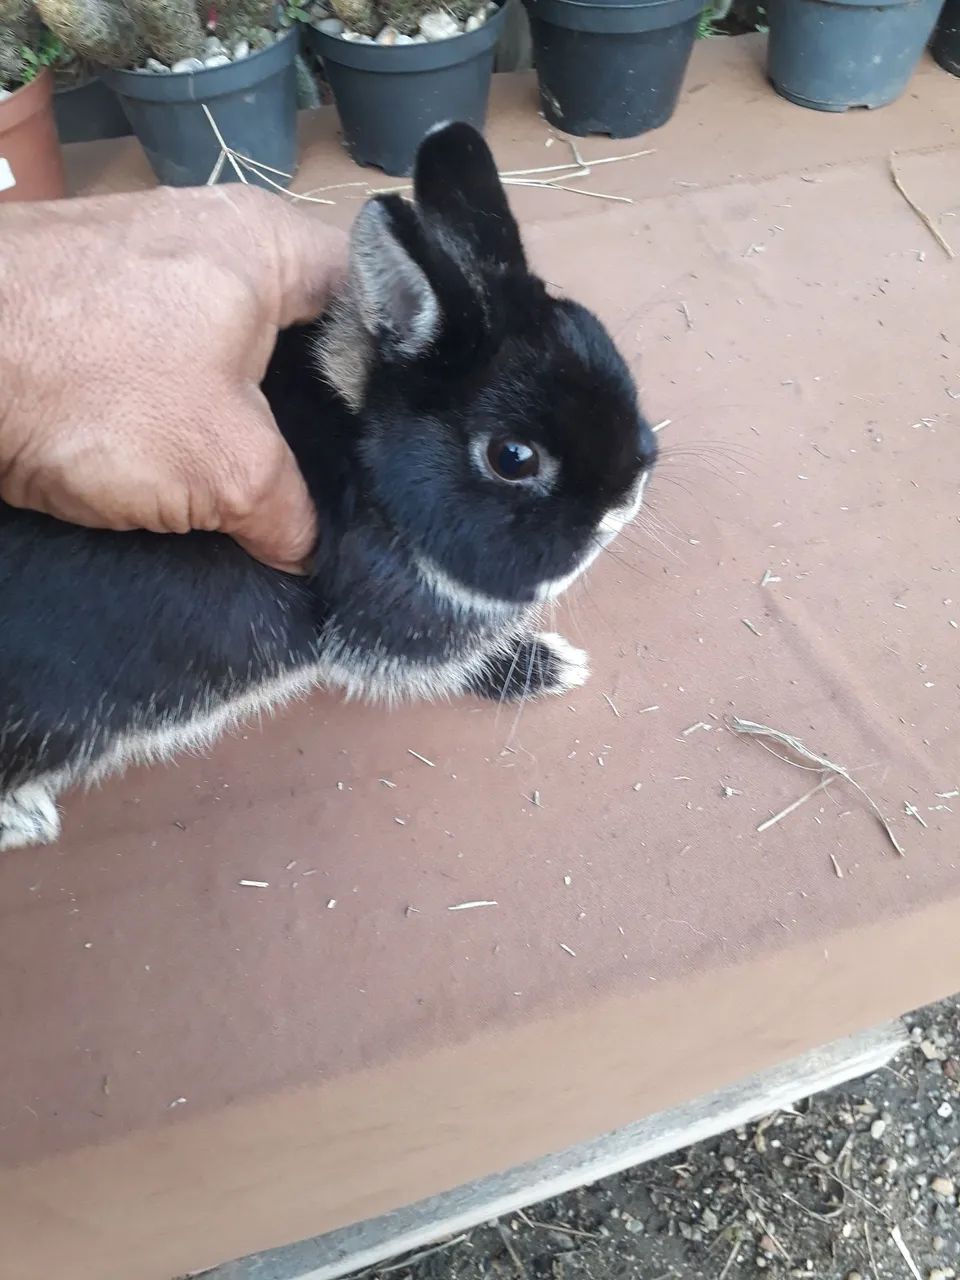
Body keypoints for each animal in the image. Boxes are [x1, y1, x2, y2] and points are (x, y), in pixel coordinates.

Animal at [0, 122, 657, 854]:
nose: (625, 499)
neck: (370, 464)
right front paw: (546, 667)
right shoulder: (383, 636)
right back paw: (24, 819)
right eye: (511, 458)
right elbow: (447, 666)